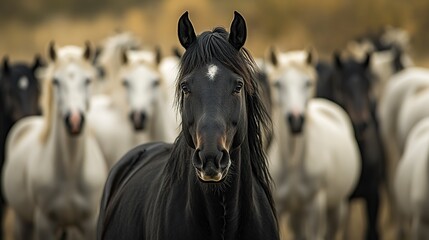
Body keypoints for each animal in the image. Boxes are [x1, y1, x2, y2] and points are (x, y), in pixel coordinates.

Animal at [2, 42, 106, 239]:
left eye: (87, 80)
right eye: (56, 81)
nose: (74, 120)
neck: (71, 171)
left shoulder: (90, 223)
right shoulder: (45, 224)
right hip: (23, 221)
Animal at [264, 49, 362, 240]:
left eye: (308, 83)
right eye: (277, 83)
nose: (295, 120)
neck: (293, 162)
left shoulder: (315, 207)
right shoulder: (279, 207)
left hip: (336, 208)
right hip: (297, 213)